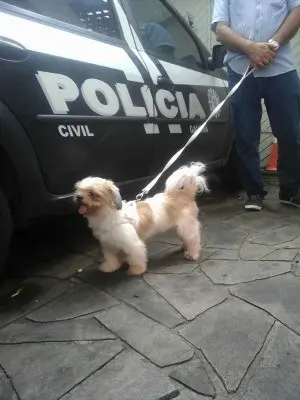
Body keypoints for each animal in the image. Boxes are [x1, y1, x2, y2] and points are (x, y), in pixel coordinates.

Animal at [74, 162, 209, 276]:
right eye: (78, 189)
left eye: (93, 193)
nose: (78, 197)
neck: (107, 215)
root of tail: (185, 194)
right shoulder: (108, 244)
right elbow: (110, 257)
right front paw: (109, 267)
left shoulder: (133, 244)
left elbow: (136, 258)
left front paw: (136, 270)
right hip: (176, 227)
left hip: (187, 226)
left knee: (193, 239)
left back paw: (192, 253)